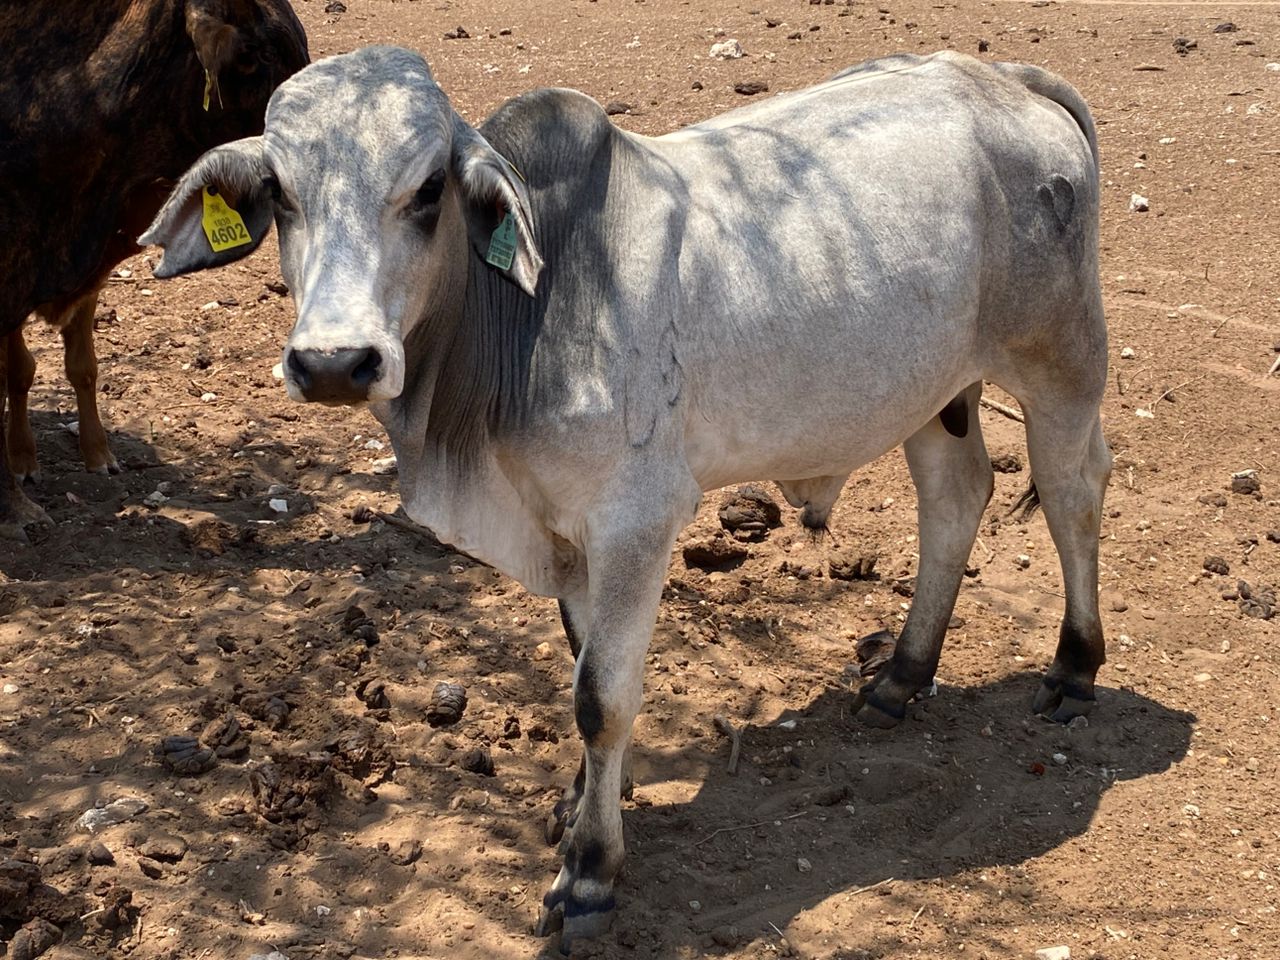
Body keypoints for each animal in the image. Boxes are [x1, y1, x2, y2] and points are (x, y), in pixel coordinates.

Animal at [0, 0, 307, 542]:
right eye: (256, 55)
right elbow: (15, 372)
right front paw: (15, 495)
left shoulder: (79, 281)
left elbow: (83, 367)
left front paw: (99, 453)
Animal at [142, 47, 1111, 957]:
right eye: (281, 192)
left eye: (427, 190)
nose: (336, 362)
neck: (522, 314)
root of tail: (999, 79)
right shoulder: (567, 533)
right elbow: (582, 668)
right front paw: (580, 799)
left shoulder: (635, 524)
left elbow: (601, 698)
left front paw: (590, 872)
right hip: (934, 391)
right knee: (956, 496)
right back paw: (901, 677)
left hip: (1061, 362)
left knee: (1074, 493)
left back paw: (1073, 667)